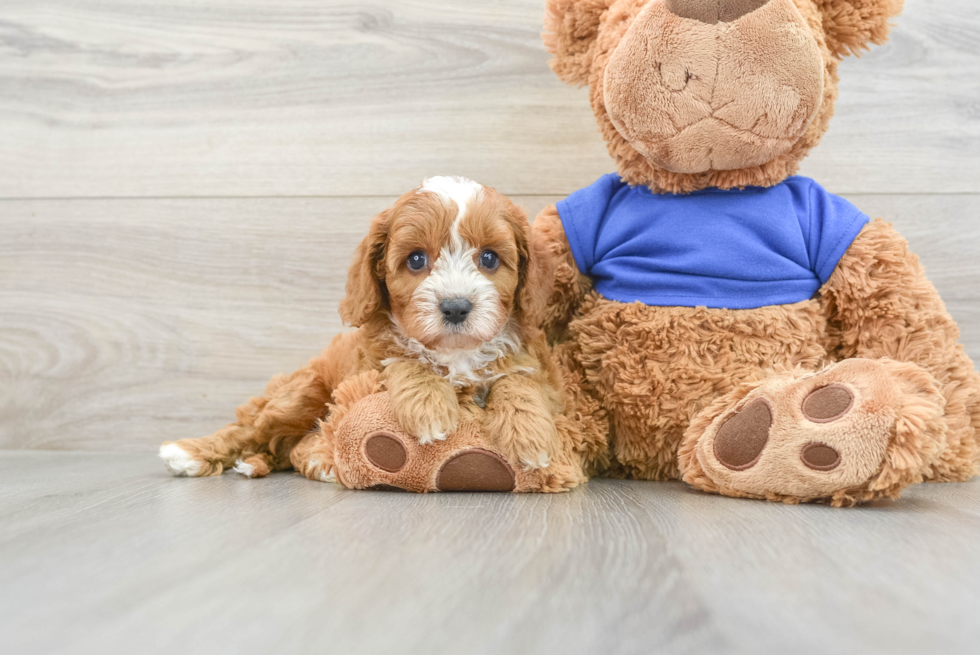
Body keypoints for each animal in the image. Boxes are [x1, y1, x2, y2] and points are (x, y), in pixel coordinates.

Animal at [160, 178, 588, 492]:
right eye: (416, 259)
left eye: (489, 258)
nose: (455, 307)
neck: (455, 355)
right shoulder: (368, 366)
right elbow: (403, 358)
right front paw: (430, 406)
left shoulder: (537, 368)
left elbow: (519, 382)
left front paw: (530, 434)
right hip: (301, 393)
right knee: (252, 428)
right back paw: (192, 452)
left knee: (290, 449)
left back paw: (314, 459)